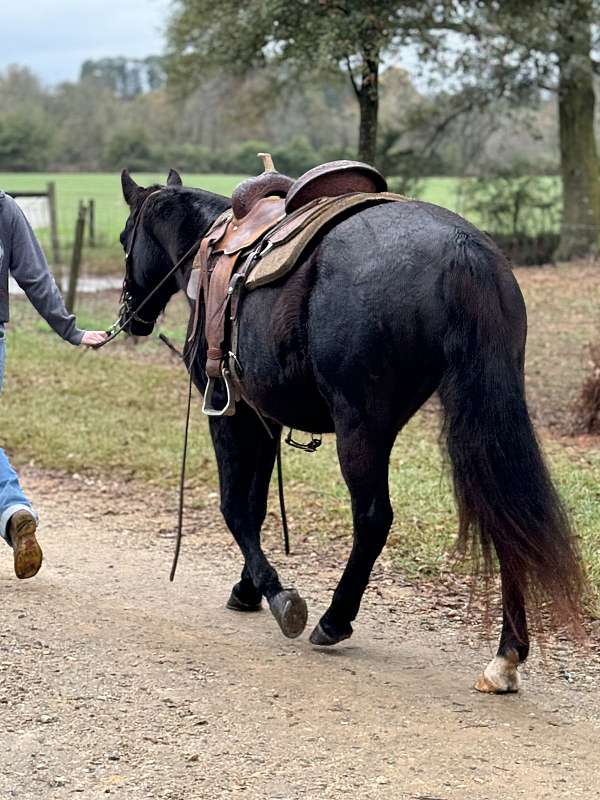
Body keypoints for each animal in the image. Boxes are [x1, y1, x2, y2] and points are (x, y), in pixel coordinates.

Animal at [119, 170, 584, 692]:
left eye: (123, 238)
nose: (131, 314)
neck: (212, 247)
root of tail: (463, 249)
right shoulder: (265, 418)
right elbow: (257, 506)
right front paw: (247, 588)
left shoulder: (229, 411)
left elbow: (235, 508)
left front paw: (277, 595)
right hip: (483, 419)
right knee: (506, 517)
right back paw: (506, 655)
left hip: (360, 426)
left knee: (373, 517)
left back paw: (334, 619)